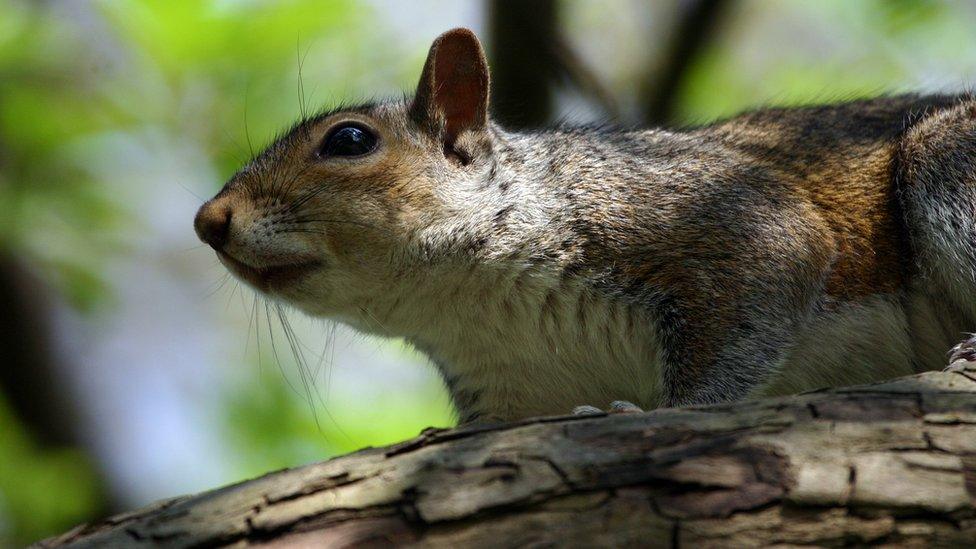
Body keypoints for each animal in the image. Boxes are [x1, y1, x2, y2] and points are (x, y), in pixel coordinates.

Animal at [196, 27, 976, 422]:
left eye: (350, 140)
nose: (208, 220)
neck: (474, 303)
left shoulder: (722, 219)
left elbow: (752, 306)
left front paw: (657, 412)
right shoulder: (506, 394)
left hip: (950, 161)